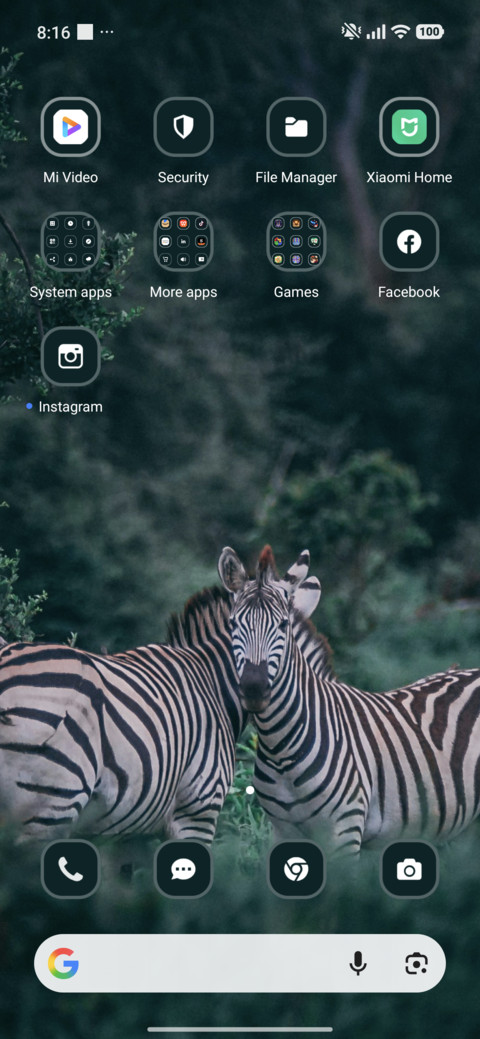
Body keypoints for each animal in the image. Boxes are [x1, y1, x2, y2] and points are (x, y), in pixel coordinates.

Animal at [0, 554, 321, 843]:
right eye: (233, 624)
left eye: (283, 626)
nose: (254, 688)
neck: (213, 684)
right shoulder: (197, 811)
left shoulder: (129, 832)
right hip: (50, 806)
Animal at [218, 544, 480, 855]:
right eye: (233, 623)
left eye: (283, 625)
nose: (254, 689)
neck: (281, 749)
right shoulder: (283, 831)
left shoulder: (345, 830)